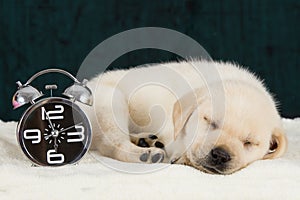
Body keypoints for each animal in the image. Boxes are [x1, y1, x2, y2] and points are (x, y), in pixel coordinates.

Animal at [81, 60, 288, 174]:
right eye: (209, 122)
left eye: (249, 142)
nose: (221, 155)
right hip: (110, 101)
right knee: (111, 143)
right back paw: (146, 153)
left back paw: (146, 141)